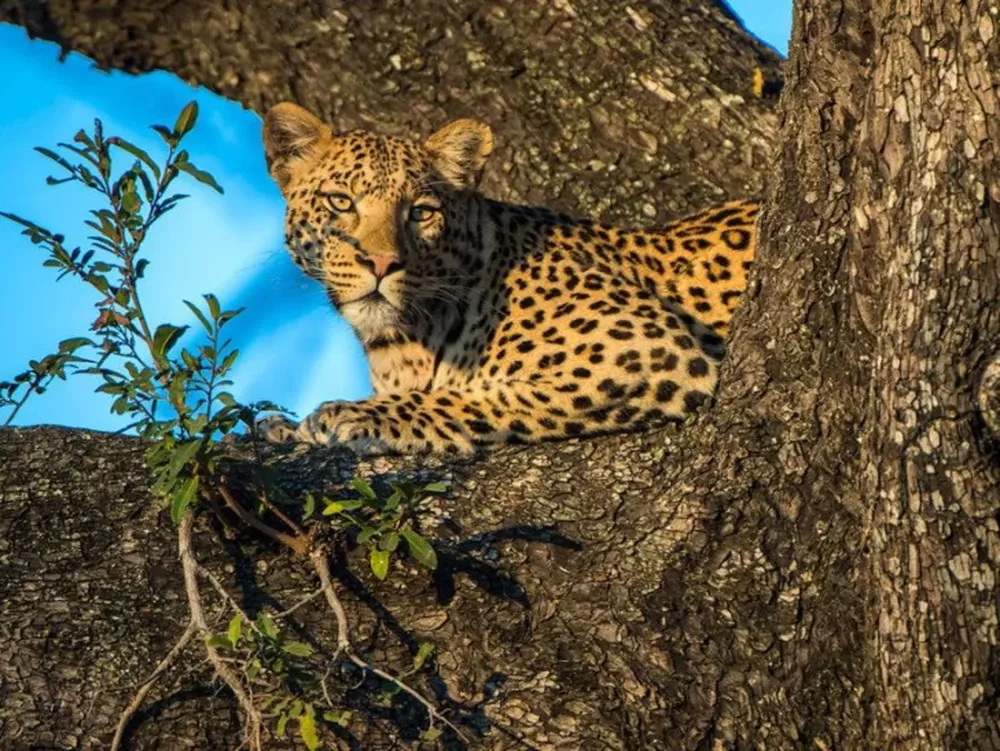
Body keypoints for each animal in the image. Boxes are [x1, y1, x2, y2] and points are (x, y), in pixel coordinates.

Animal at [258, 102, 757, 455]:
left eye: (420, 213)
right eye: (341, 202)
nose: (381, 263)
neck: (399, 345)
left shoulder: (651, 350)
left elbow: (470, 395)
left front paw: (351, 415)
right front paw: (285, 429)